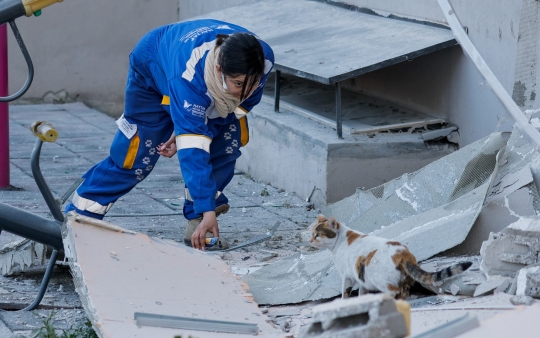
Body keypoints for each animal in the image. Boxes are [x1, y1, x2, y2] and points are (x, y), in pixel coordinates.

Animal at [310, 215, 470, 300]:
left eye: (318, 235)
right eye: (312, 234)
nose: (310, 241)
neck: (340, 241)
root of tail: (404, 254)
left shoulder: (347, 275)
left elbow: (345, 293)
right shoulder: (360, 277)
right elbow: (362, 293)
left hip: (379, 279)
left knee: (395, 291)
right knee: (404, 292)